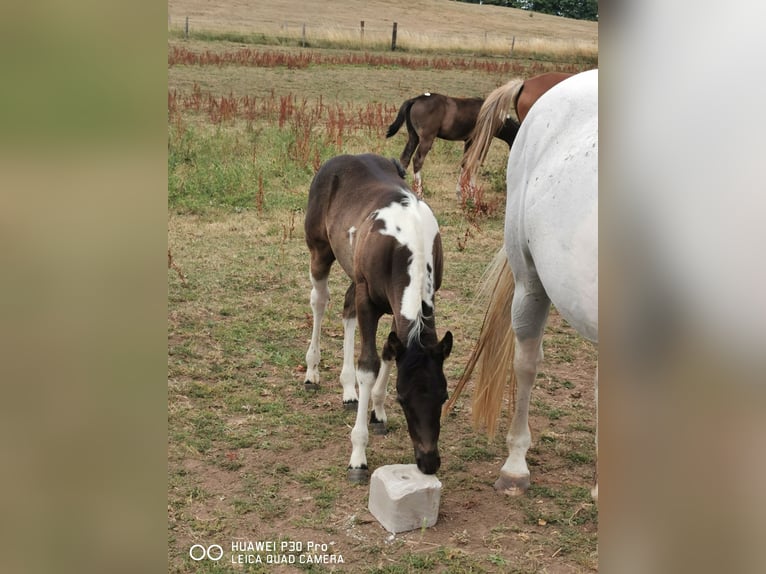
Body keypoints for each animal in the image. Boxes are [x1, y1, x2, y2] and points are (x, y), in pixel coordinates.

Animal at [304, 153, 454, 483]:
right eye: (404, 399)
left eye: (444, 396)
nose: (428, 462)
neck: (410, 240)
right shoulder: (369, 300)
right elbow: (369, 364)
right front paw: (358, 457)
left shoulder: (402, 304)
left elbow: (389, 348)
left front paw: (378, 411)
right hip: (320, 251)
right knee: (320, 301)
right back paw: (311, 372)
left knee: (346, 308)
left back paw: (349, 391)